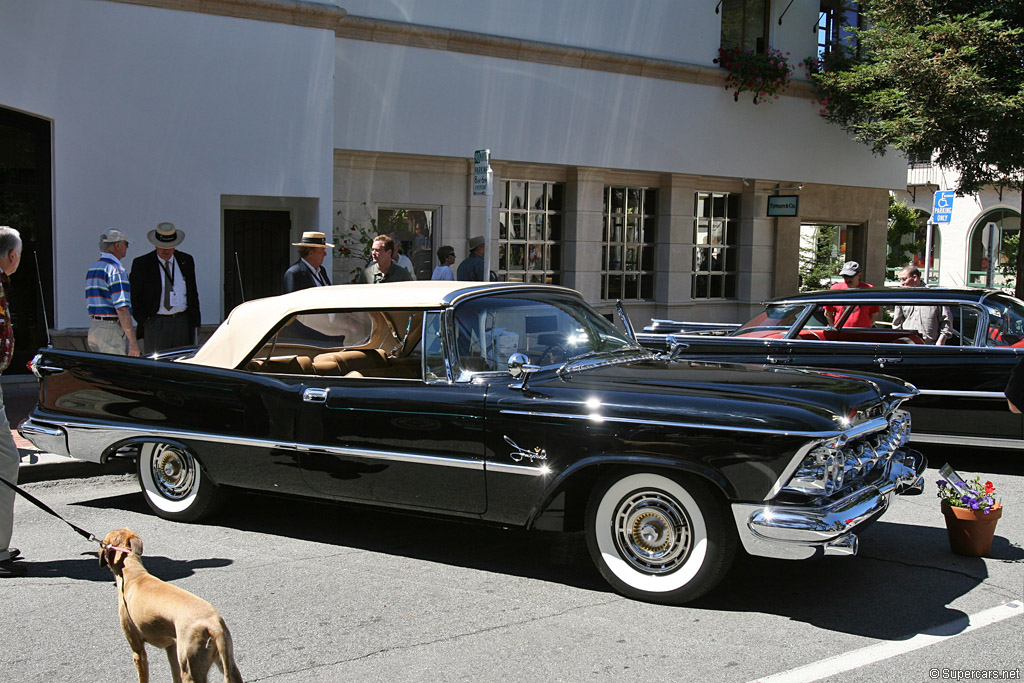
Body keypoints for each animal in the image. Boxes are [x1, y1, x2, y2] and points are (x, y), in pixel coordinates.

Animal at [99, 532, 243, 683]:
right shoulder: (171, 647)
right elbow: (174, 672)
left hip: (191, 669)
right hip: (227, 663)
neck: (134, 574)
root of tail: (213, 624)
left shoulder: (137, 649)